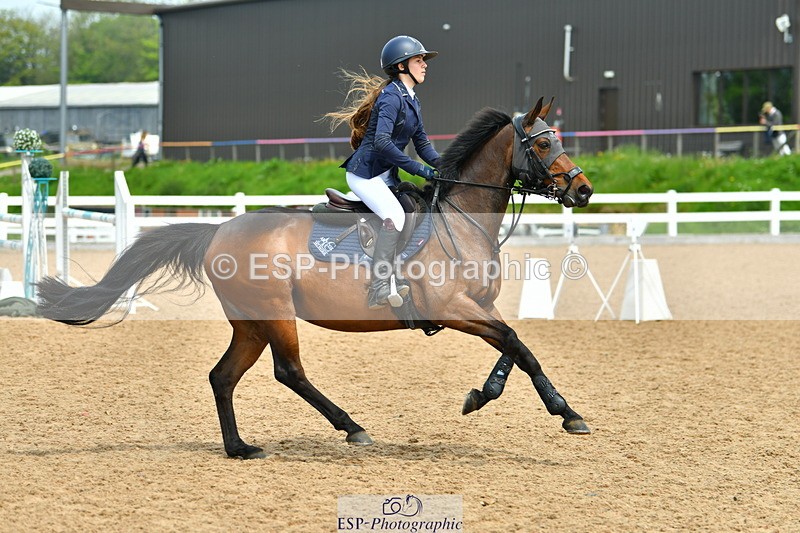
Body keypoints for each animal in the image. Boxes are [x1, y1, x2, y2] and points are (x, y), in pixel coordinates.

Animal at [37, 97, 594, 459]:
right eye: (543, 143)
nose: (584, 190)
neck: (461, 218)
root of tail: (219, 230)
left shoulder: (480, 308)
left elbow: (516, 347)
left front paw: (493, 396)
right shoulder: (455, 308)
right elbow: (518, 345)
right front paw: (562, 412)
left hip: (251, 323)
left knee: (223, 376)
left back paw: (240, 448)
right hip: (276, 315)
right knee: (289, 372)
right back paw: (352, 428)